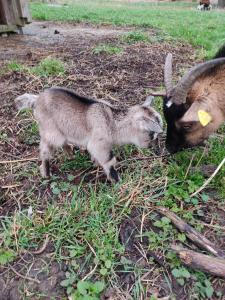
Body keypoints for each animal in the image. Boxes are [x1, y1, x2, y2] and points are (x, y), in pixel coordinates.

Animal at [16, 88, 163, 182]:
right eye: (152, 134)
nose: (154, 148)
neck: (112, 122)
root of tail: (36, 100)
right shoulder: (99, 144)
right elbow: (109, 161)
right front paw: (117, 181)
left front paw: (95, 163)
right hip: (50, 130)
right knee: (46, 150)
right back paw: (46, 173)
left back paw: (70, 154)